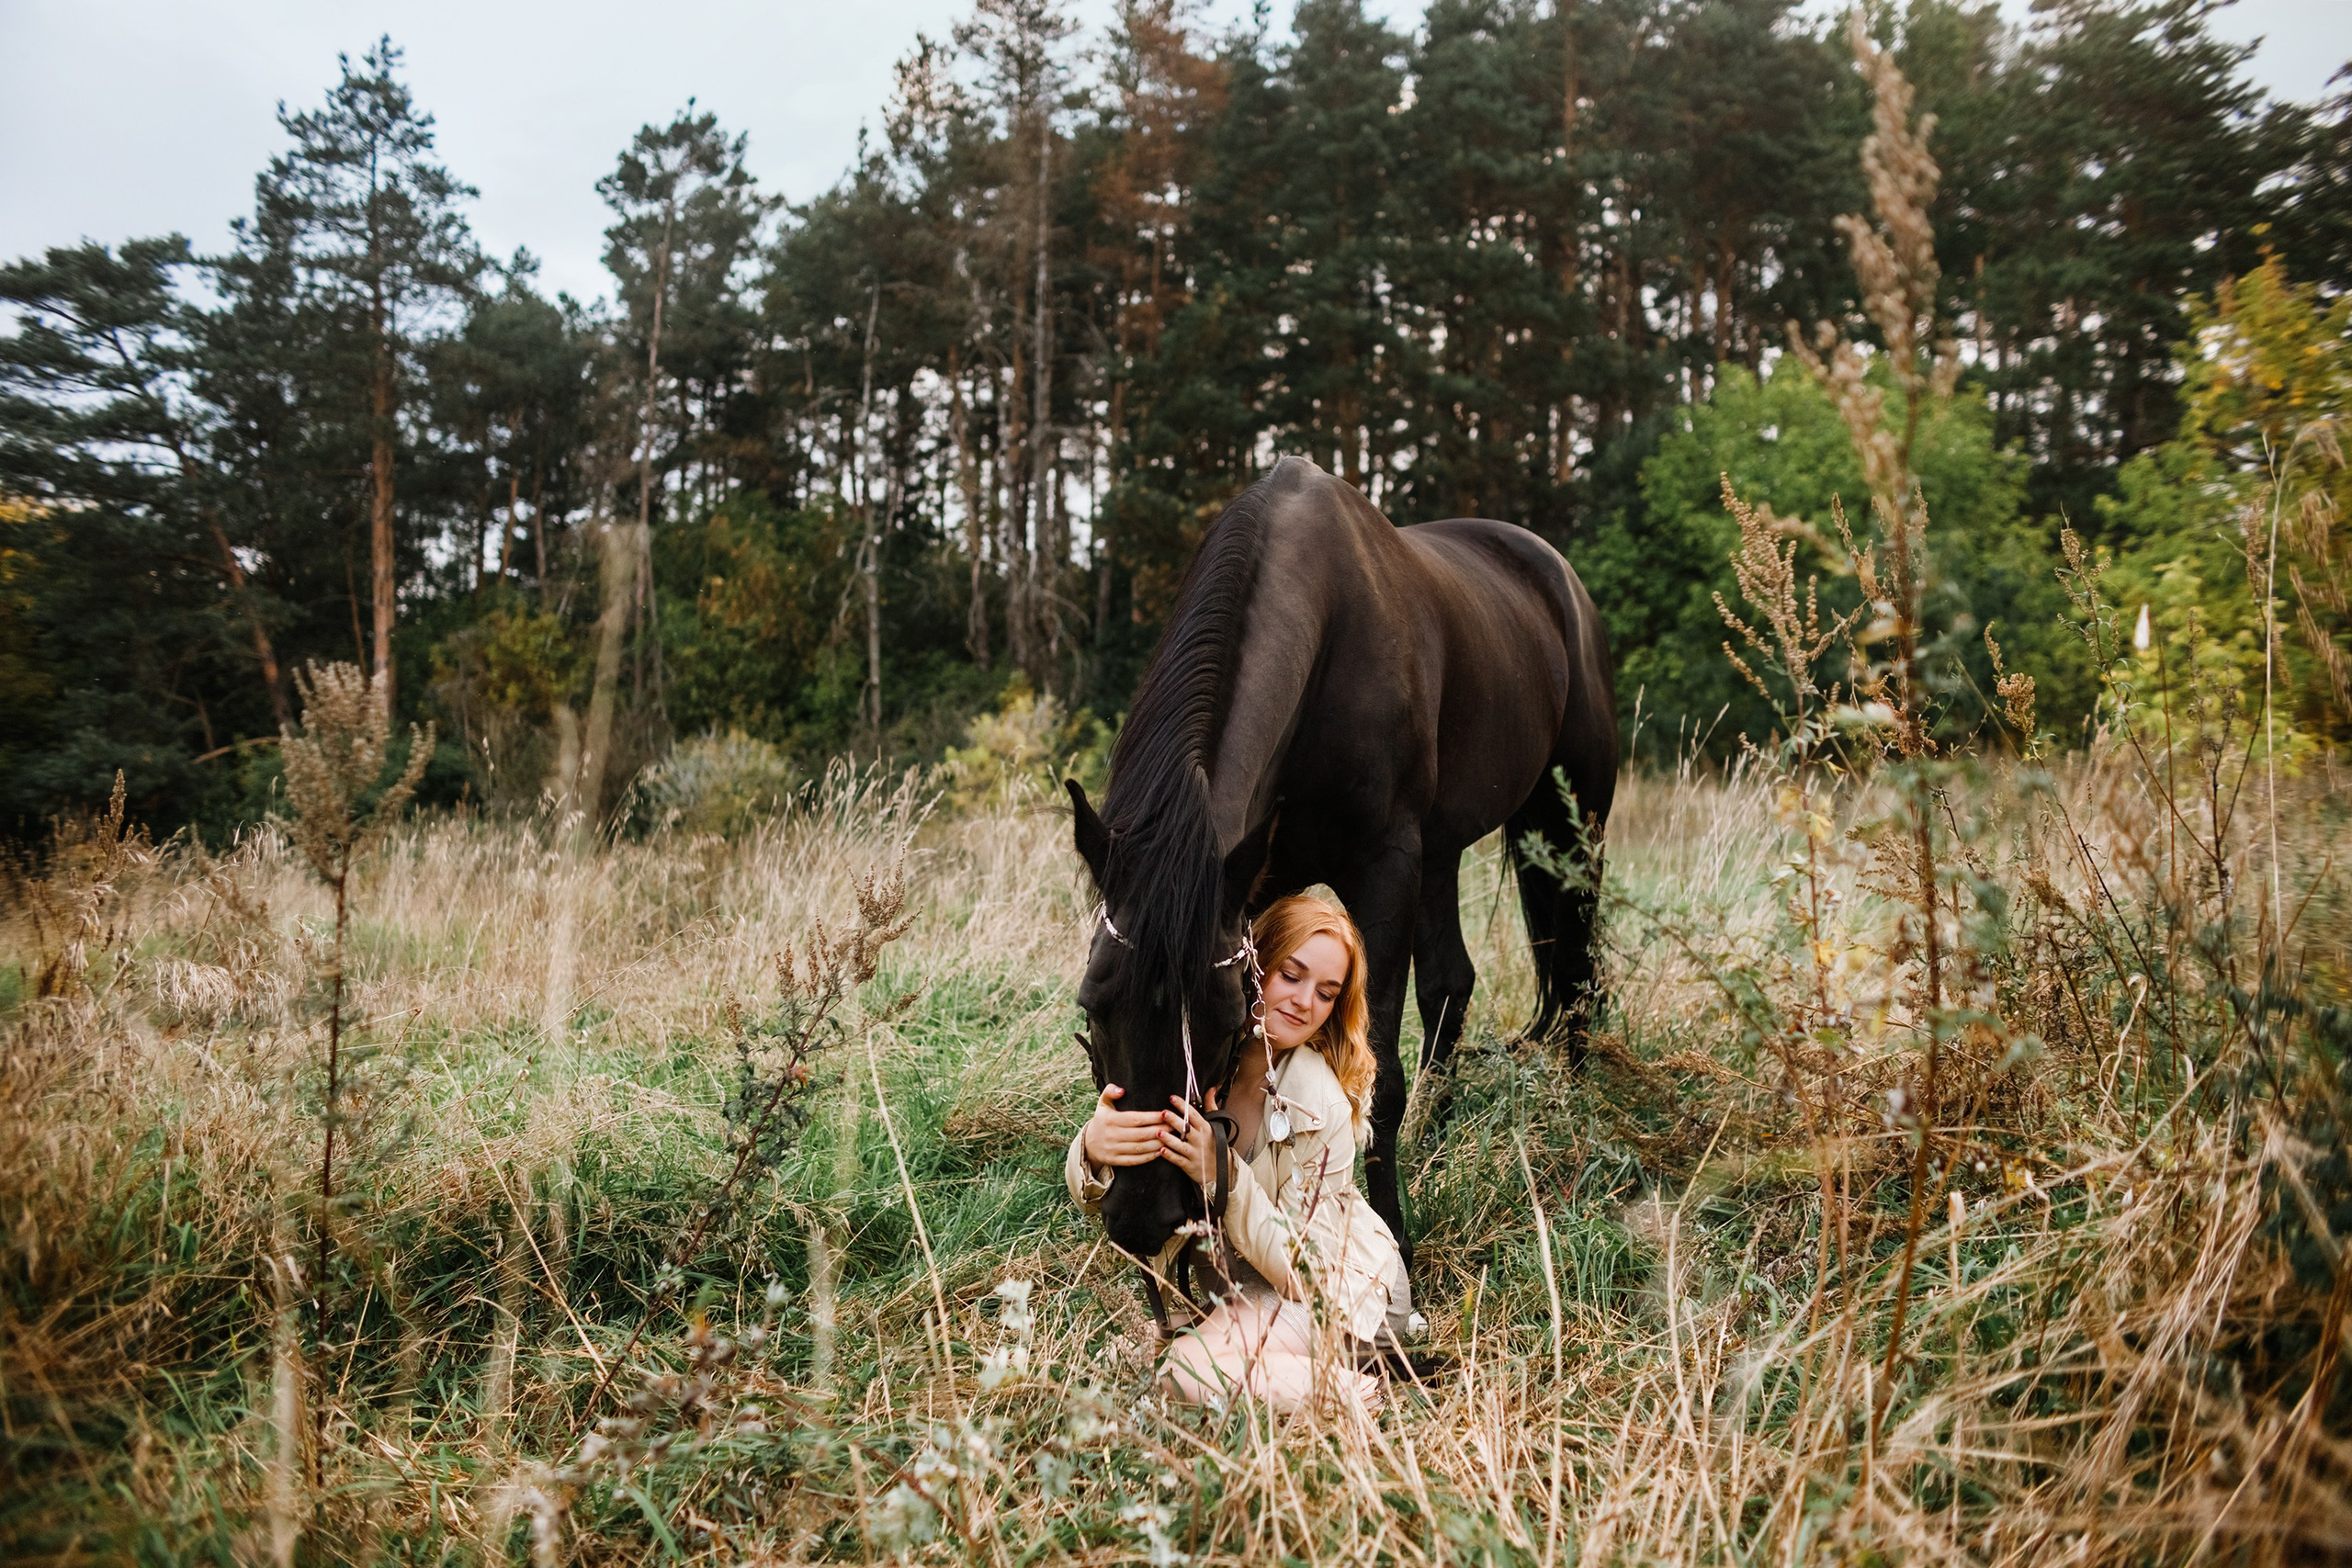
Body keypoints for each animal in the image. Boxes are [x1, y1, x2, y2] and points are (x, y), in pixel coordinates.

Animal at [1066, 456, 1617, 1273]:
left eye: (1224, 1019)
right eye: (1092, 1003)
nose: (1146, 1216)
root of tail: (1561, 582)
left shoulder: (1383, 869)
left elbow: (1376, 1077)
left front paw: (1393, 1230)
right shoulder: (1262, 885)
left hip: (1571, 820)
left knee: (1576, 966)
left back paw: (1572, 1110)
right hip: (1446, 851)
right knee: (1454, 984)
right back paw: (1437, 1134)